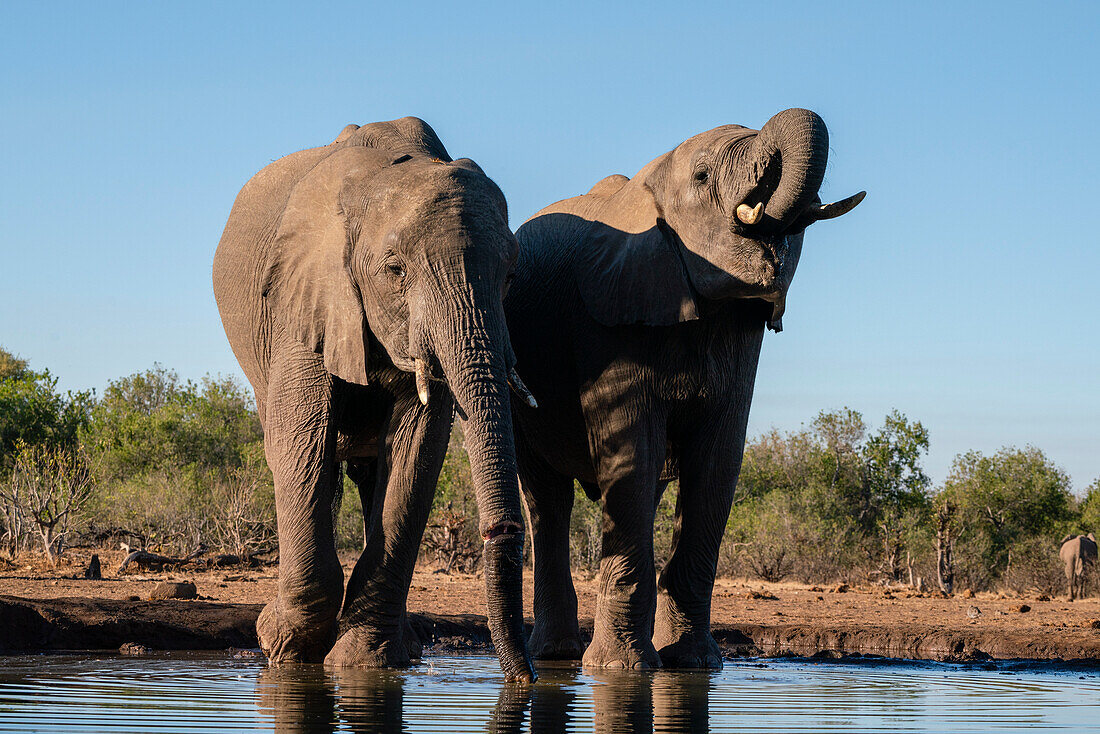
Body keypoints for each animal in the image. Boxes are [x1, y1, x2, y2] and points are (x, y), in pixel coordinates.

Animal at [211, 116, 536, 682]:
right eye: (395, 270)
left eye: (511, 275)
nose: (525, 679)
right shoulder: (306, 294)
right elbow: (302, 441)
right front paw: (283, 646)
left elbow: (416, 452)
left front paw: (364, 661)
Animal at [503, 106, 862, 669]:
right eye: (702, 176)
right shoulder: (608, 325)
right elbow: (633, 454)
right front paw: (620, 671)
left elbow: (717, 462)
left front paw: (694, 665)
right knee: (548, 498)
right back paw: (559, 656)